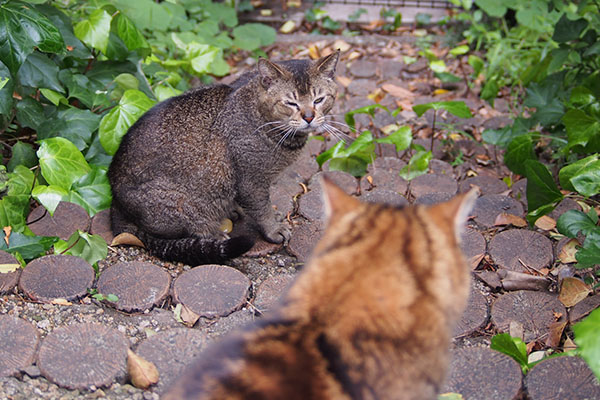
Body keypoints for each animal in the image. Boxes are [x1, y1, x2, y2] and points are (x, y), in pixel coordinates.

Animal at [108, 52, 340, 266]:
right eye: (291, 103)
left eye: (319, 100)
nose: (309, 117)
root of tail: (116, 206)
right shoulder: (251, 181)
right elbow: (262, 209)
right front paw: (273, 229)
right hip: (181, 203)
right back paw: (215, 233)